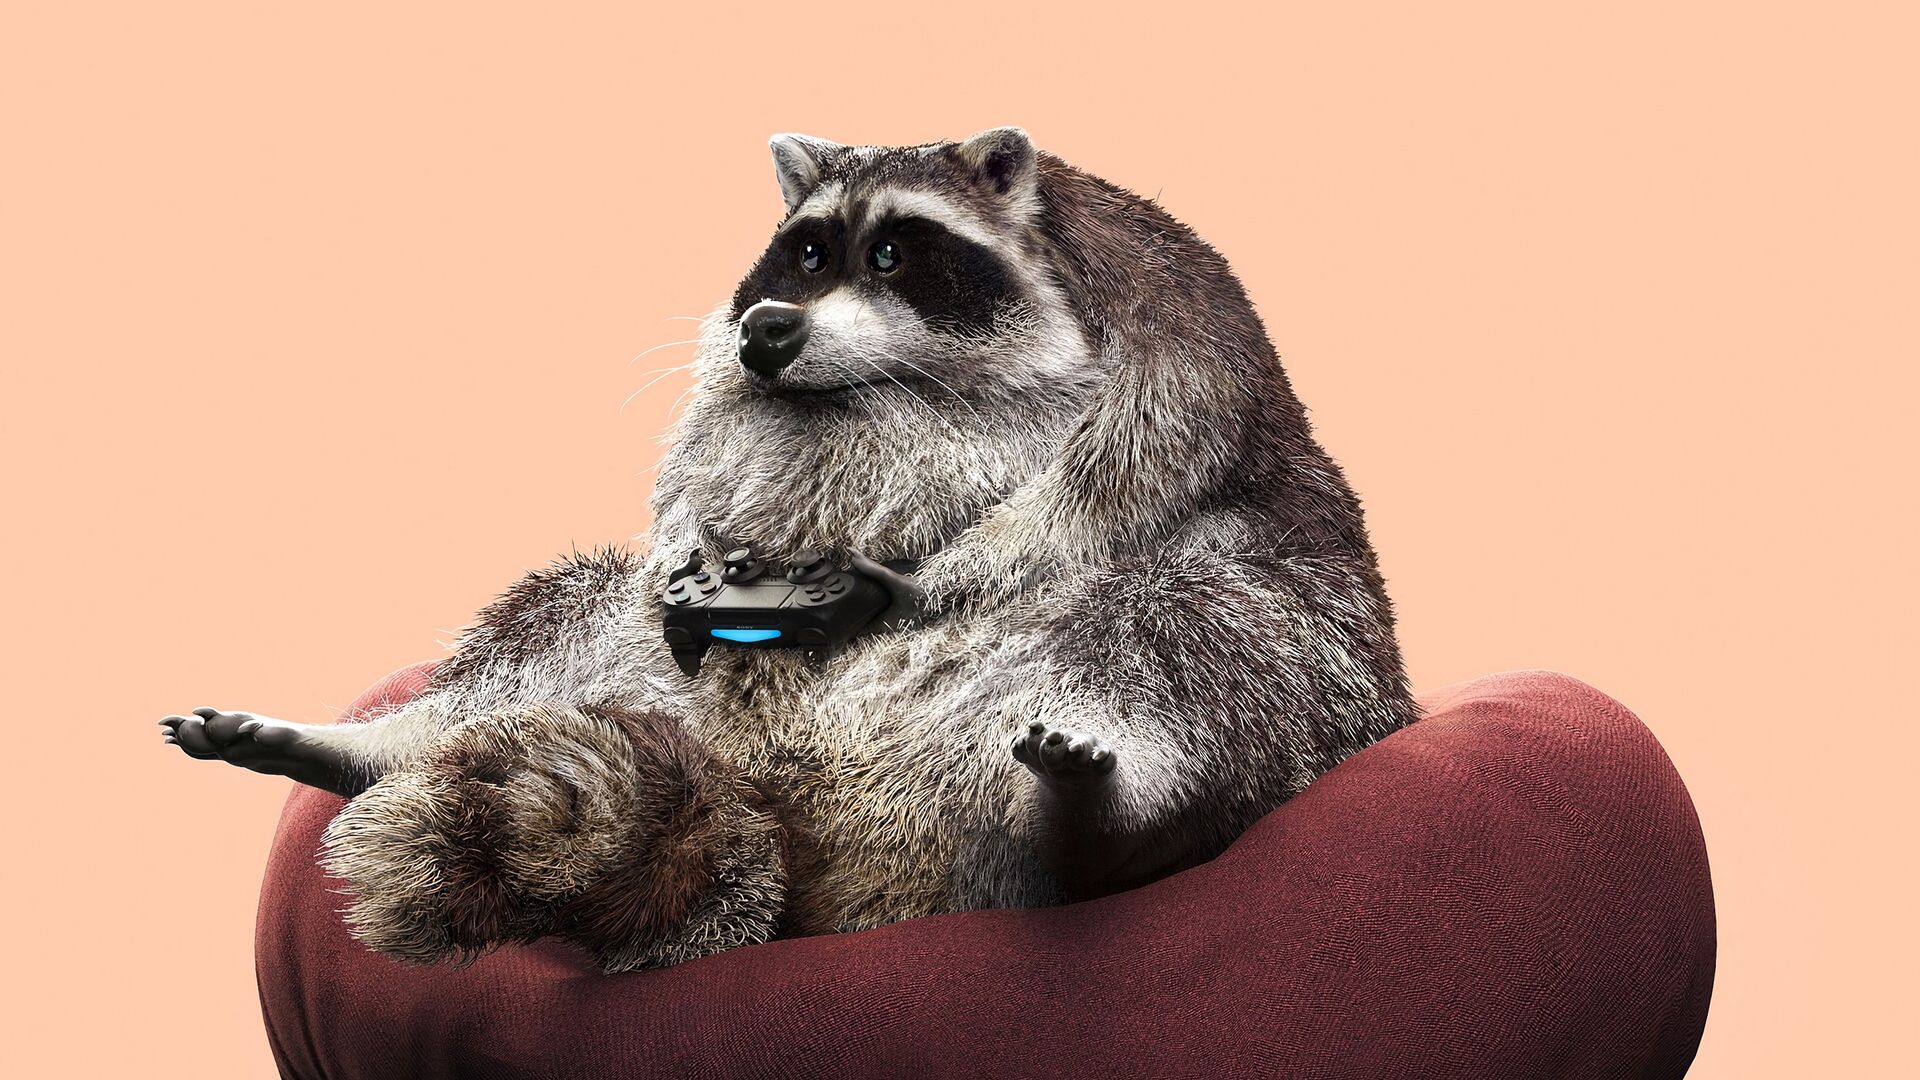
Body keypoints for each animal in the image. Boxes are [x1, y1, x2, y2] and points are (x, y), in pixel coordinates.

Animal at [161, 127, 1418, 971]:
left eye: (896, 253)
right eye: (805, 254)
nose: (768, 333)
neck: (882, 399)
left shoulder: (1178, 318)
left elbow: (1116, 481)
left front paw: (936, 570)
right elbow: (694, 484)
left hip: (1287, 665)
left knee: (1203, 623)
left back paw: (1097, 830)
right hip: (650, 688)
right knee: (566, 620)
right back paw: (373, 745)